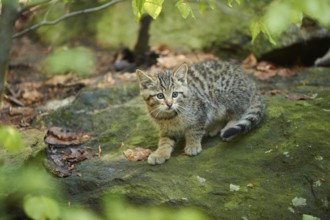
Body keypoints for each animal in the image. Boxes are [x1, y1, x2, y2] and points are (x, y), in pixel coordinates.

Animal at [137, 59, 266, 164]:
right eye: (160, 96)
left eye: (175, 94)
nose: (169, 104)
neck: (170, 116)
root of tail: (250, 82)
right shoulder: (167, 128)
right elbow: (165, 140)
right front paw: (160, 153)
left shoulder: (202, 110)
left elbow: (194, 130)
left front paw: (193, 145)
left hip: (225, 95)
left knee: (237, 113)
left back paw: (227, 128)